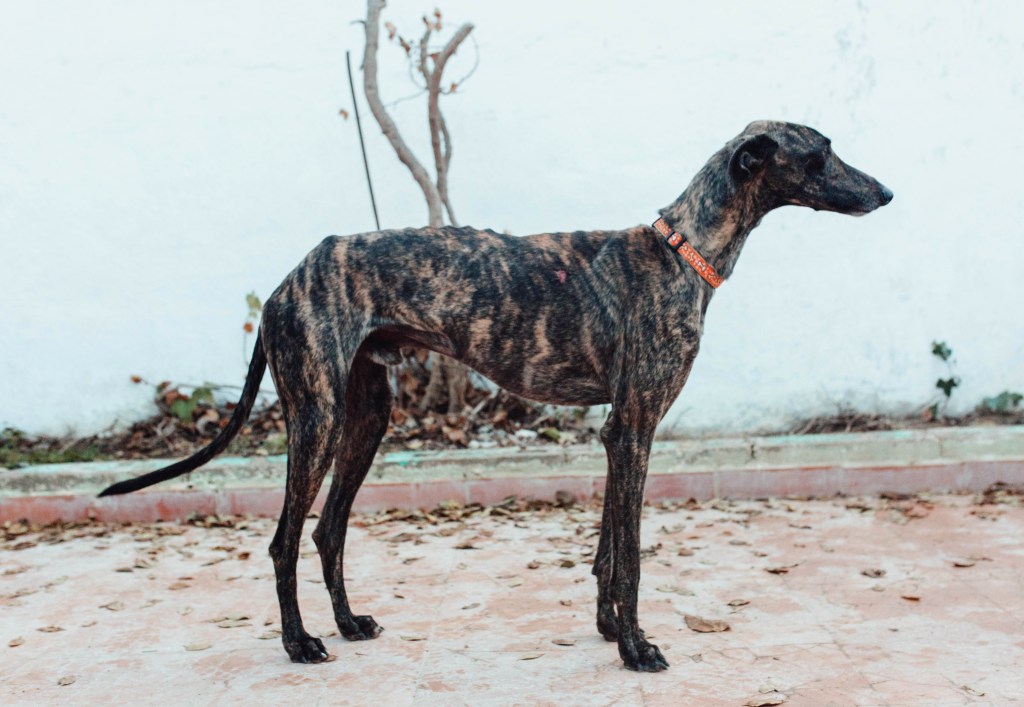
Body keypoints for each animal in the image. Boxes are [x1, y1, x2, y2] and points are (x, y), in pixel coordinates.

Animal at [100, 120, 892, 671]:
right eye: (820, 153)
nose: (886, 193)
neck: (682, 252)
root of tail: (283, 282)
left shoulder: (617, 431)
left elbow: (607, 548)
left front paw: (610, 629)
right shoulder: (635, 427)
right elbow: (632, 555)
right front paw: (637, 648)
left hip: (366, 415)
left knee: (327, 530)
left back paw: (350, 625)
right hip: (317, 416)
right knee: (284, 539)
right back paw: (300, 643)